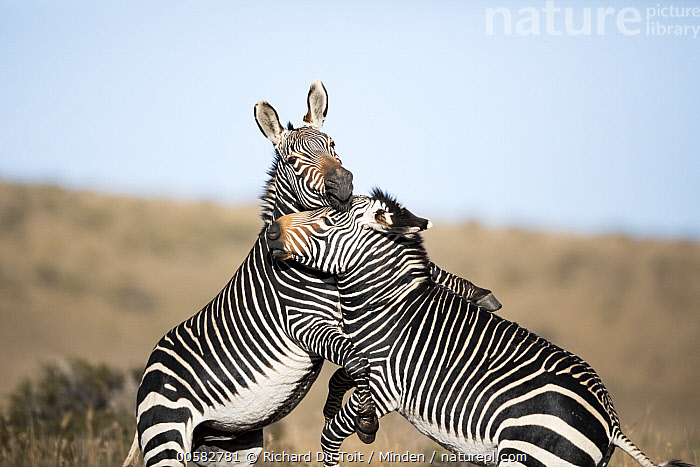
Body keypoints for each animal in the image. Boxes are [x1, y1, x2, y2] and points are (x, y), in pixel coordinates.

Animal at [123, 82, 500, 466]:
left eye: (333, 144)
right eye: (292, 161)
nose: (343, 183)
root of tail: (147, 369)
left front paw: (478, 294)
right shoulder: (304, 325)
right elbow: (354, 361)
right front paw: (365, 419)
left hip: (231, 443)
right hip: (167, 431)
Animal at [266, 189, 692, 467]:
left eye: (326, 220)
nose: (270, 231)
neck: (388, 305)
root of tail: (611, 420)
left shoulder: (388, 385)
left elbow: (332, 433)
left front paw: (357, 429)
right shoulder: (363, 364)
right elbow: (339, 379)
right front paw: (354, 420)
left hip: (530, 456)